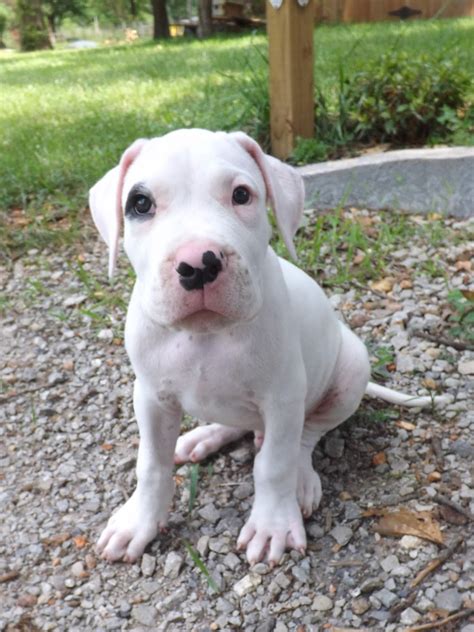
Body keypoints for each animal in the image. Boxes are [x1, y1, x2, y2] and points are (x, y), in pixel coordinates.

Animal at [89, 127, 440, 564]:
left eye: (242, 195)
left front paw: (272, 525)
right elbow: (151, 464)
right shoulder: (151, 398)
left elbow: (274, 463)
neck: (207, 335)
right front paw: (139, 522)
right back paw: (203, 437)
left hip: (350, 371)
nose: (198, 264)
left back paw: (302, 479)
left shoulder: (283, 399)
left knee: (306, 436)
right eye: (140, 203)